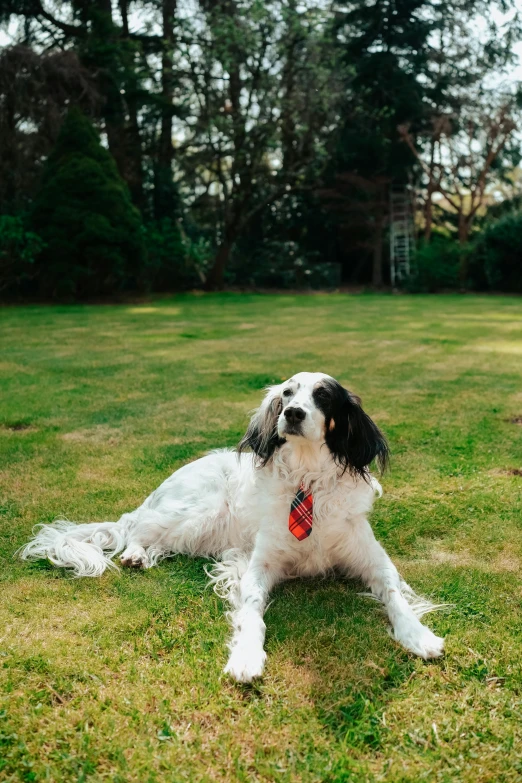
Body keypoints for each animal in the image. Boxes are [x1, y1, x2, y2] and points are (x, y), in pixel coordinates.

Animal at [20, 370, 442, 684]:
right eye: (287, 393)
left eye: (323, 396)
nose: (292, 413)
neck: (308, 482)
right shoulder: (259, 565)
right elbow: (252, 611)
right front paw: (246, 656)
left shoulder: (372, 559)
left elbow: (395, 594)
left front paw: (418, 634)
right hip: (196, 512)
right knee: (140, 531)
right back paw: (135, 555)